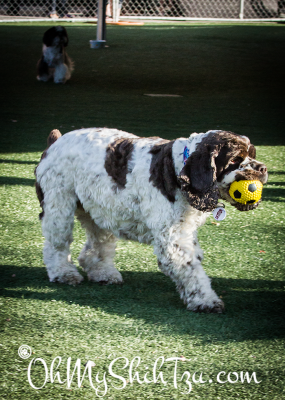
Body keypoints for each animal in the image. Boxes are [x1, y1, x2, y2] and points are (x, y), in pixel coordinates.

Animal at [35, 128, 266, 312]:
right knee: (56, 245)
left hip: (100, 210)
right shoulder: (172, 239)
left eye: (252, 154)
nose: (263, 168)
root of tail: (55, 142)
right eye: (235, 160)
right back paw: (64, 273)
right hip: (59, 205)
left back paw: (103, 273)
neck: (178, 168)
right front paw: (206, 300)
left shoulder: (185, 229)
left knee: (96, 245)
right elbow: (191, 269)